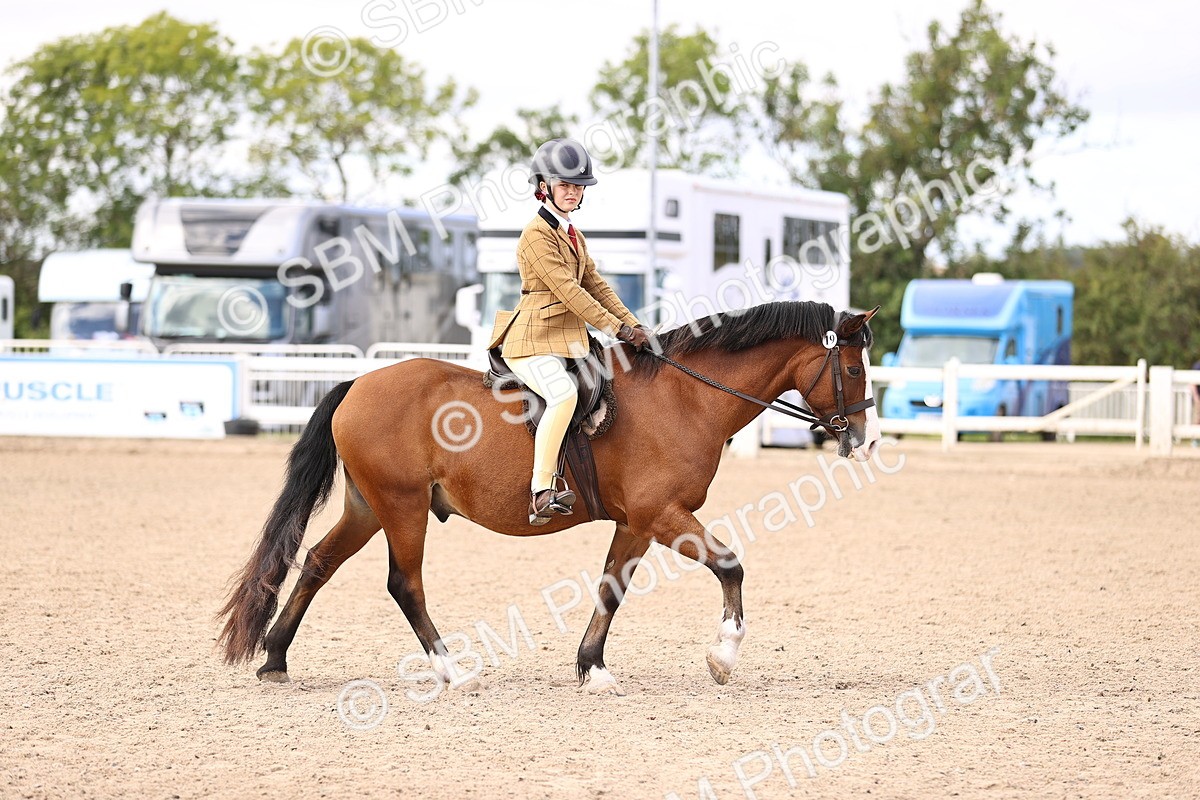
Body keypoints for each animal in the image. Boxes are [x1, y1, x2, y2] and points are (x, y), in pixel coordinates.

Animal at [217, 301, 880, 695]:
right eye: (852, 367)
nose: (866, 438)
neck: (685, 398)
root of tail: (359, 382)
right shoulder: (664, 515)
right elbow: (730, 564)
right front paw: (723, 656)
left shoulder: (637, 523)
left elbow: (611, 589)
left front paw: (593, 668)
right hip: (402, 507)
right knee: (404, 583)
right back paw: (450, 669)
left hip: (368, 507)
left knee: (318, 563)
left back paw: (275, 659)